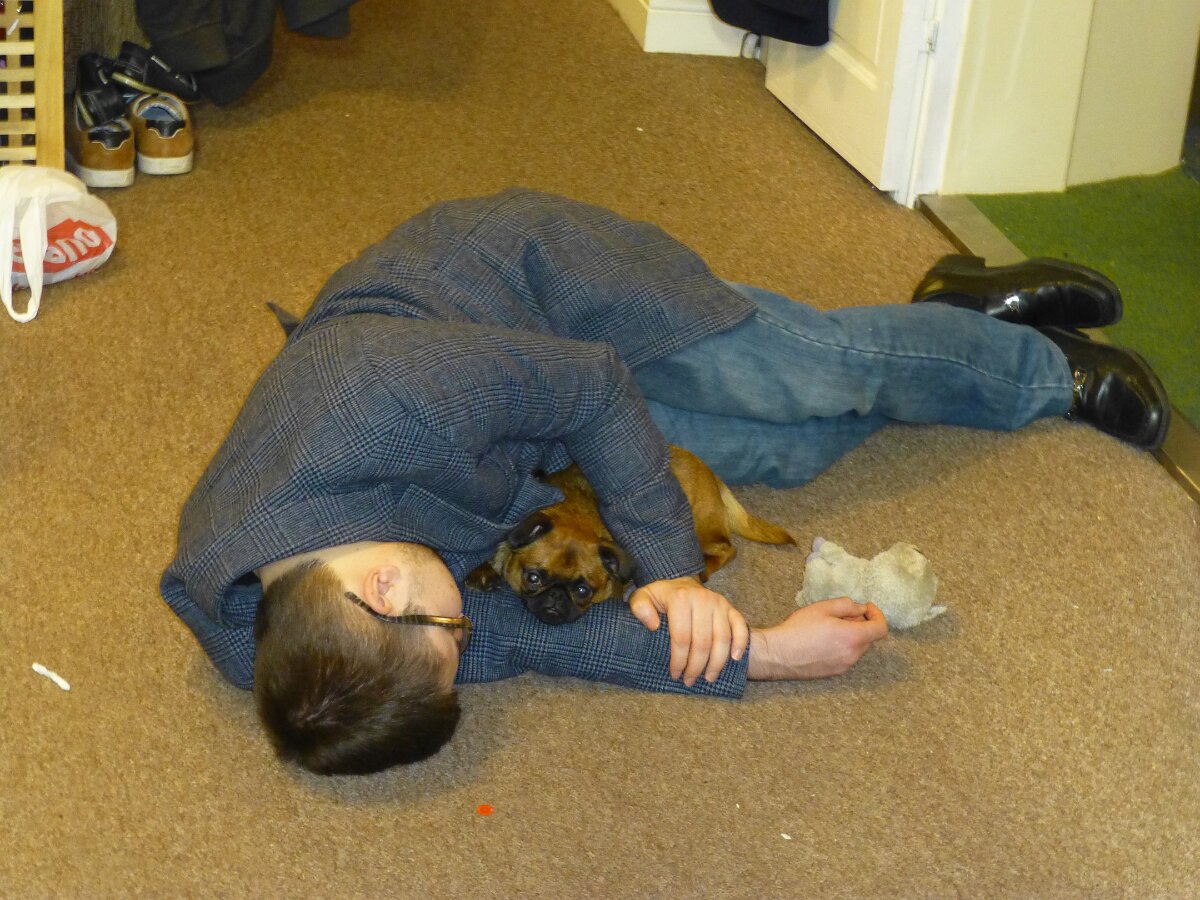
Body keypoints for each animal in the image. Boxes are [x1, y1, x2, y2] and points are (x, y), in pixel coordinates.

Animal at [467, 446, 795, 624]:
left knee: (727, 549)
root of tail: (710, 472)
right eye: (533, 577)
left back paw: (705, 568)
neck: (574, 513)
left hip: (699, 528)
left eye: (583, 590)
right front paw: (484, 572)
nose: (556, 596)